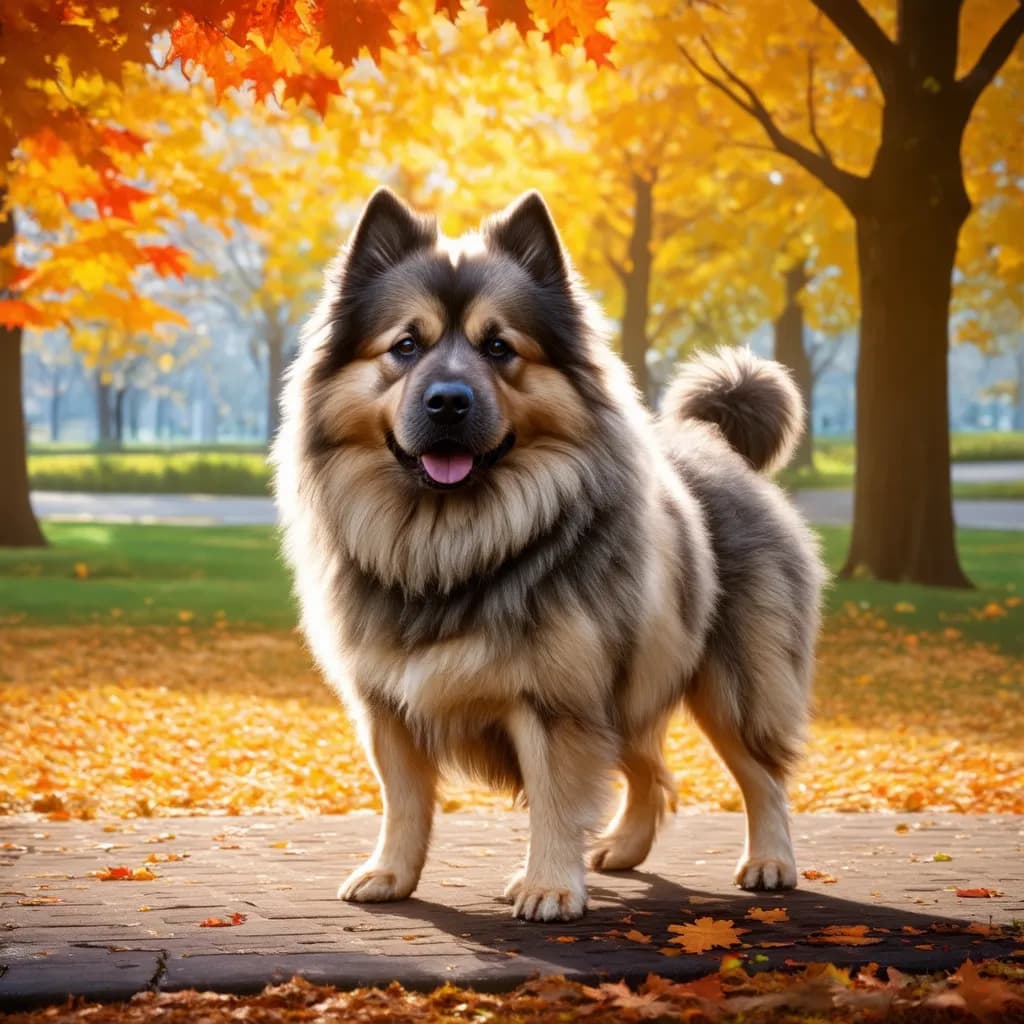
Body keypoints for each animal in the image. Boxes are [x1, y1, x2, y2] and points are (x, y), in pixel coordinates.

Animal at [272, 188, 823, 925]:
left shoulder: (555, 698)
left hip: (733, 684)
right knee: (650, 769)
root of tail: (716, 447)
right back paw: (624, 848)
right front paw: (391, 872)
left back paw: (770, 860)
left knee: (760, 774)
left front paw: (550, 885)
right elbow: (404, 801)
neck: (452, 541)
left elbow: (557, 802)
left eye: (499, 346)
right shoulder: (387, 703)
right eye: (406, 346)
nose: (448, 402)